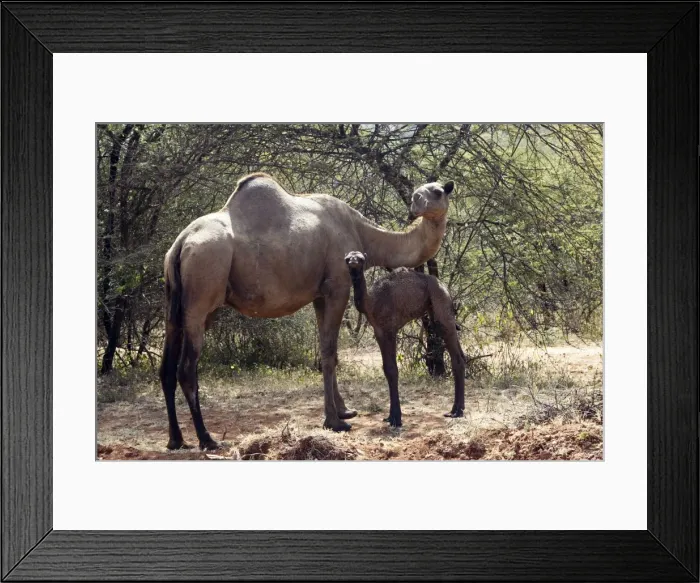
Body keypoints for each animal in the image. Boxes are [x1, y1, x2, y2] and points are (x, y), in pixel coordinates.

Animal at [159, 173, 453, 450]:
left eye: (437, 191)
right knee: (186, 369)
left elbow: (327, 351)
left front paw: (344, 411)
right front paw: (334, 422)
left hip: (175, 305)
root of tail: (181, 244)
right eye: (420, 194)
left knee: (166, 368)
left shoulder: (319, 295)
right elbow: (329, 352)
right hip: (202, 290)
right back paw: (207, 439)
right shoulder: (338, 287)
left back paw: (176, 440)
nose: (417, 206)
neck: (361, 232)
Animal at [344, 250, 466, 427]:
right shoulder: (379, 332)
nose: (353, 262)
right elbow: (386, 369)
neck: (370, 302)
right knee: (460, 354)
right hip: (438, 314)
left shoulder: (390, 330)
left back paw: (457, 411)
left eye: (360, 258)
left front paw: (396, 418)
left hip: (442, 307)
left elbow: (392, 370)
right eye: (347, 258)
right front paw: (390, 417)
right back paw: (455, 409)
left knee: (456, 357)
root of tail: (445, 289)